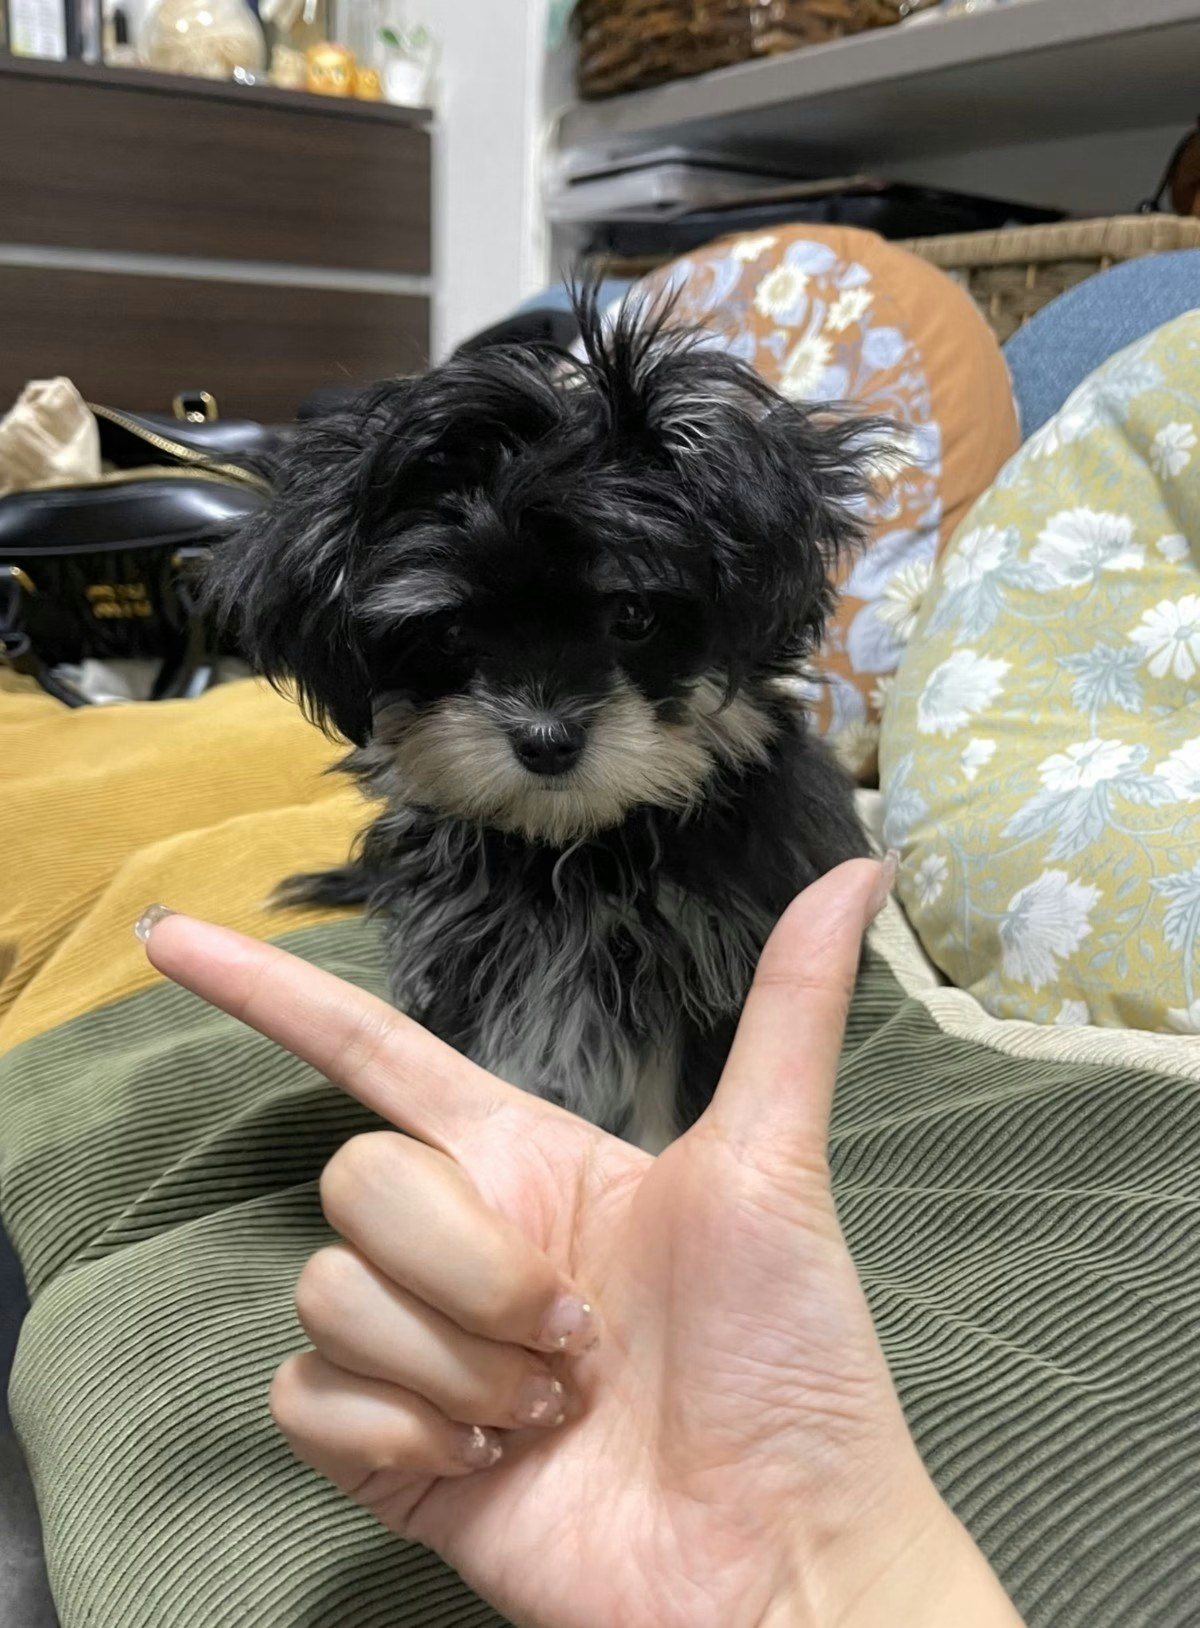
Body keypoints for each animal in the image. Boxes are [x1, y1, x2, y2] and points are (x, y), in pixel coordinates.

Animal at [207, 292, 875, 1148]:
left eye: (633, 615)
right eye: (452, 633)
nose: (546, 741)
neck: (574, 846)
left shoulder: (703, 962)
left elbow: (667, 1110)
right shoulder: (475, 962)